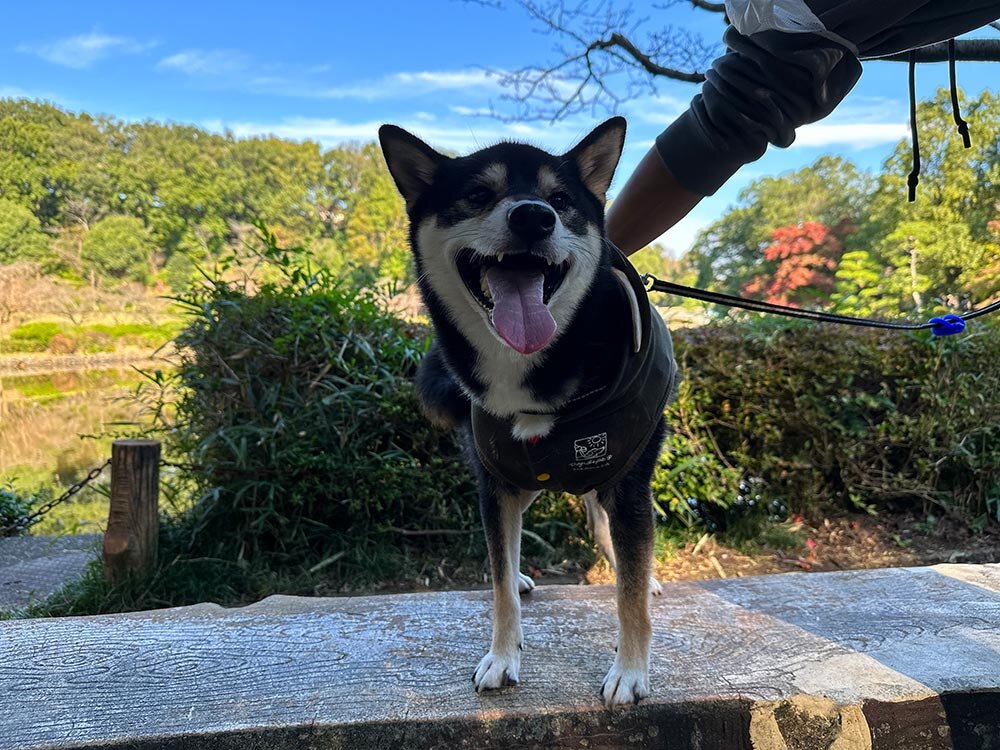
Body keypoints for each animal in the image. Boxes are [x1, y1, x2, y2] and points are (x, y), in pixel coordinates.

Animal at [382, 120, 680, 708]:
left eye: (560, 201)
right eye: (478, 195)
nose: (533, 216)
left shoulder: (628, 482)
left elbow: (631, 596)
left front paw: (630, 670)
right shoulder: (494, 486)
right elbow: (501, 582)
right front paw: (502, 656)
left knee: (609, 531)